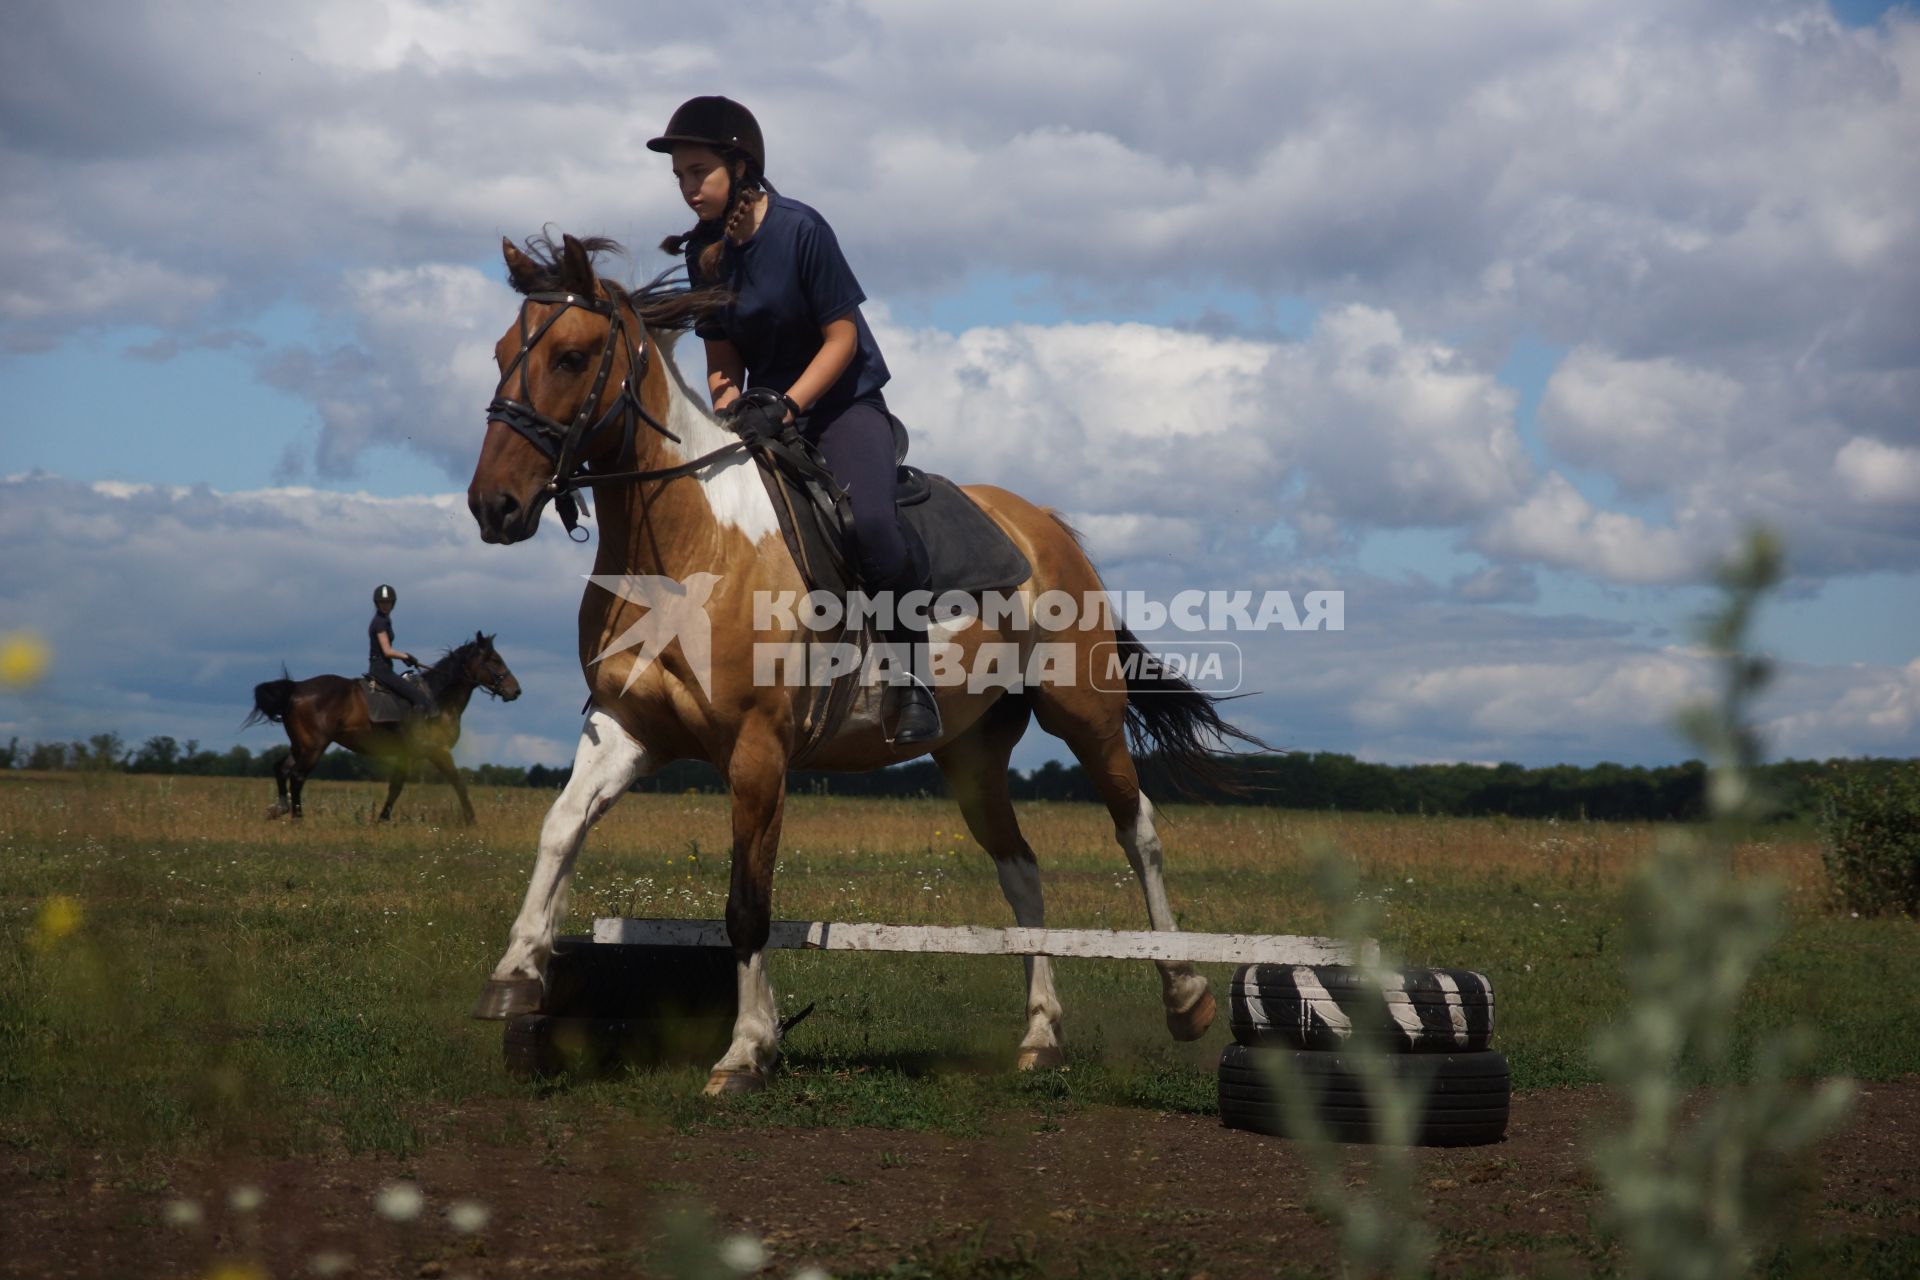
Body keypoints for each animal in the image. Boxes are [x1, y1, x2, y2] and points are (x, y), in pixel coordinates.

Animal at [240, 629, 526, 821]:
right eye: (495, 660)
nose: (516, 691)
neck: (438, 697)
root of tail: (296, 689)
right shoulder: (437, 750)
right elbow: (458, 782)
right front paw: (471, 820)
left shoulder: (406, 754)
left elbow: (395, 787)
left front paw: (382, 819)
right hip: (313, 746)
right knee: (297, 776)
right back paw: (298, 817)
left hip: (301, 744)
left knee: (281, 769)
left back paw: (279, 809)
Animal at [456, 235, 1251, 1097]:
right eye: (499, 354)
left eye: (570, 357)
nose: (493, 506)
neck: (687, 546)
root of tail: (1040, 524)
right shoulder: (628, 728)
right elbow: (561, 826)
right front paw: (517, 973)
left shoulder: (758, 752)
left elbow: (747, 902)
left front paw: (747, 1051)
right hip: (971, 752)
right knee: (1021, 870)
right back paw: (1041, 1035)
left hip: (1085, 715)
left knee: (1138, 831)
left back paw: (1186, 995)